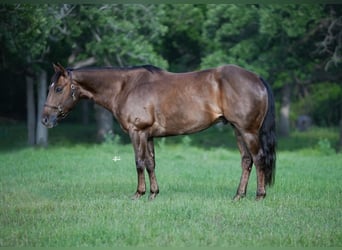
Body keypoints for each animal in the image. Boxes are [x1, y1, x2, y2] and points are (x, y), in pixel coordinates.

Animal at [41, 63, 276, 201]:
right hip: (238, 130)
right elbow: (151, 163)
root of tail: (257, 78)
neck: (125, 87)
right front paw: (153, 194)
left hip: (248, 131)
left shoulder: (137, 132)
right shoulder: (149, 135)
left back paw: (259, 196)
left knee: (259, 159)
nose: (45, 119)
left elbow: (139, 163)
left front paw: (139, 193)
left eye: (58, 88)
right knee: (247, 161)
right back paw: (238, 196)